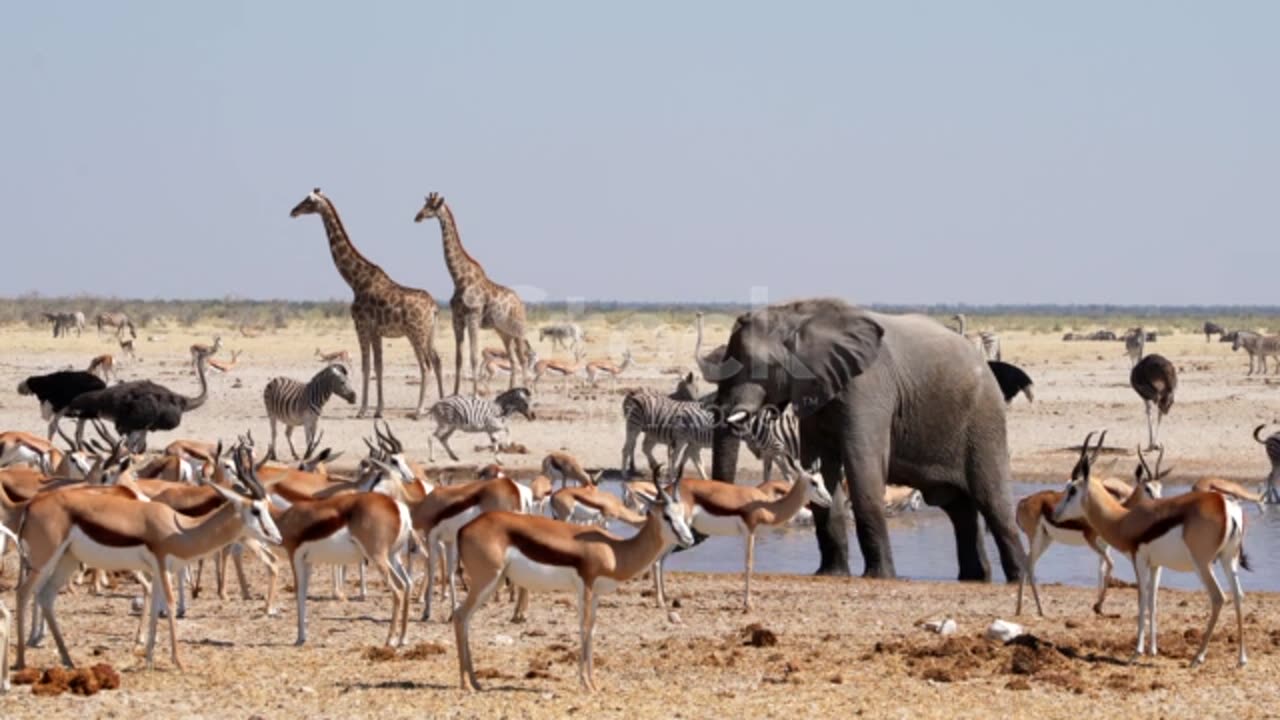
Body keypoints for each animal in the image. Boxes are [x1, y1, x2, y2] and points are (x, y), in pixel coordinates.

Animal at [291, 188, 445, 417]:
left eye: (309, 200)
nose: (293, 211)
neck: (355, 281)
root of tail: (434, 307)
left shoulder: (362, 326)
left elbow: (366, 366)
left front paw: (363, 410)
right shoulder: (376, 331)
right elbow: (377, 366)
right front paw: (378, 409)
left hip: (416, 333)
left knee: (425, 365)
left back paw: (419, 410)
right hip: (429, 333)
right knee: (436, 360)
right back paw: (443, 402)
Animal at [417, 192, 532, 392]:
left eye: (432, 206)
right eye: (424, 204)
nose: (418, 216)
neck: (458, 278)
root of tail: (520, 303)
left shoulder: (473, 317)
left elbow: (474, 357)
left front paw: (474, 394)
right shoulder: (457, 319)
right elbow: (458, 359)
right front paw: (455, 393)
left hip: (518, 329)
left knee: (523, 358)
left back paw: (526, 390)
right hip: (503, 331)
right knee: (513, 359)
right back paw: (511, 390)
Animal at [716, 294, 1024, 579]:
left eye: (754, 365)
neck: (798, 316)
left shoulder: (868, 386)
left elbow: (862, 467)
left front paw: (879, 576)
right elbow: (820, 467)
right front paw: (830, 574)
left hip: (984, 419)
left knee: (992, 502)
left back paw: (1018, 579)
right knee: (958, 509)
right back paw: (976, 577)